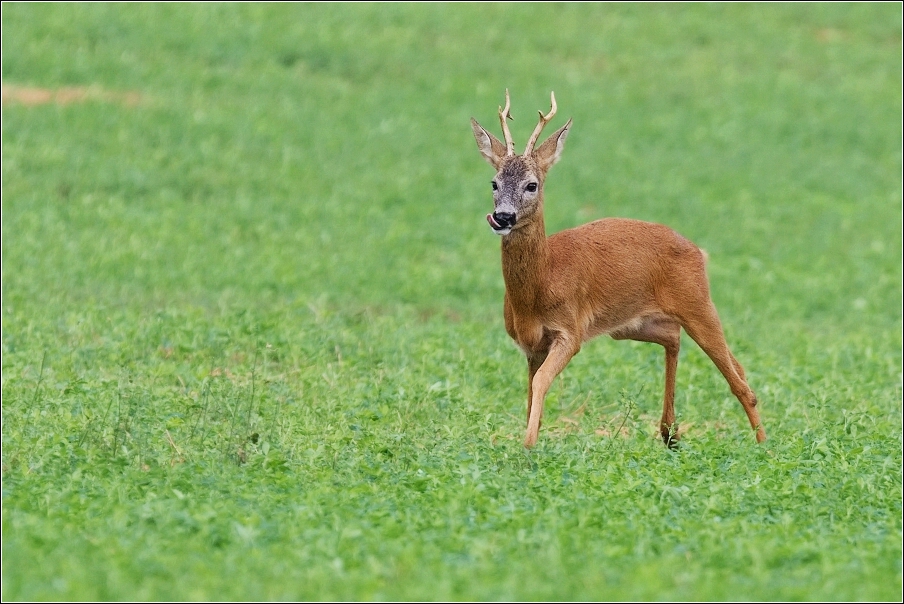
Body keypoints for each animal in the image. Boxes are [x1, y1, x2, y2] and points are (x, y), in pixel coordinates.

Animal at [470, 89, 768, 448]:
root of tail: (699, 251)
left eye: (532, 185)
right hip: (630, 323)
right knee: (681, 340)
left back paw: (763, 446)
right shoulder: (530, 345)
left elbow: (540, 382)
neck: (541, 284)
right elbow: (530, 390)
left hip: (697, 300)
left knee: (738, 380)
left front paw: (528, 446)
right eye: (494, 183)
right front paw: (530, 437)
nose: (503, 217)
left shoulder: (570, 329)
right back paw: (669, 432)